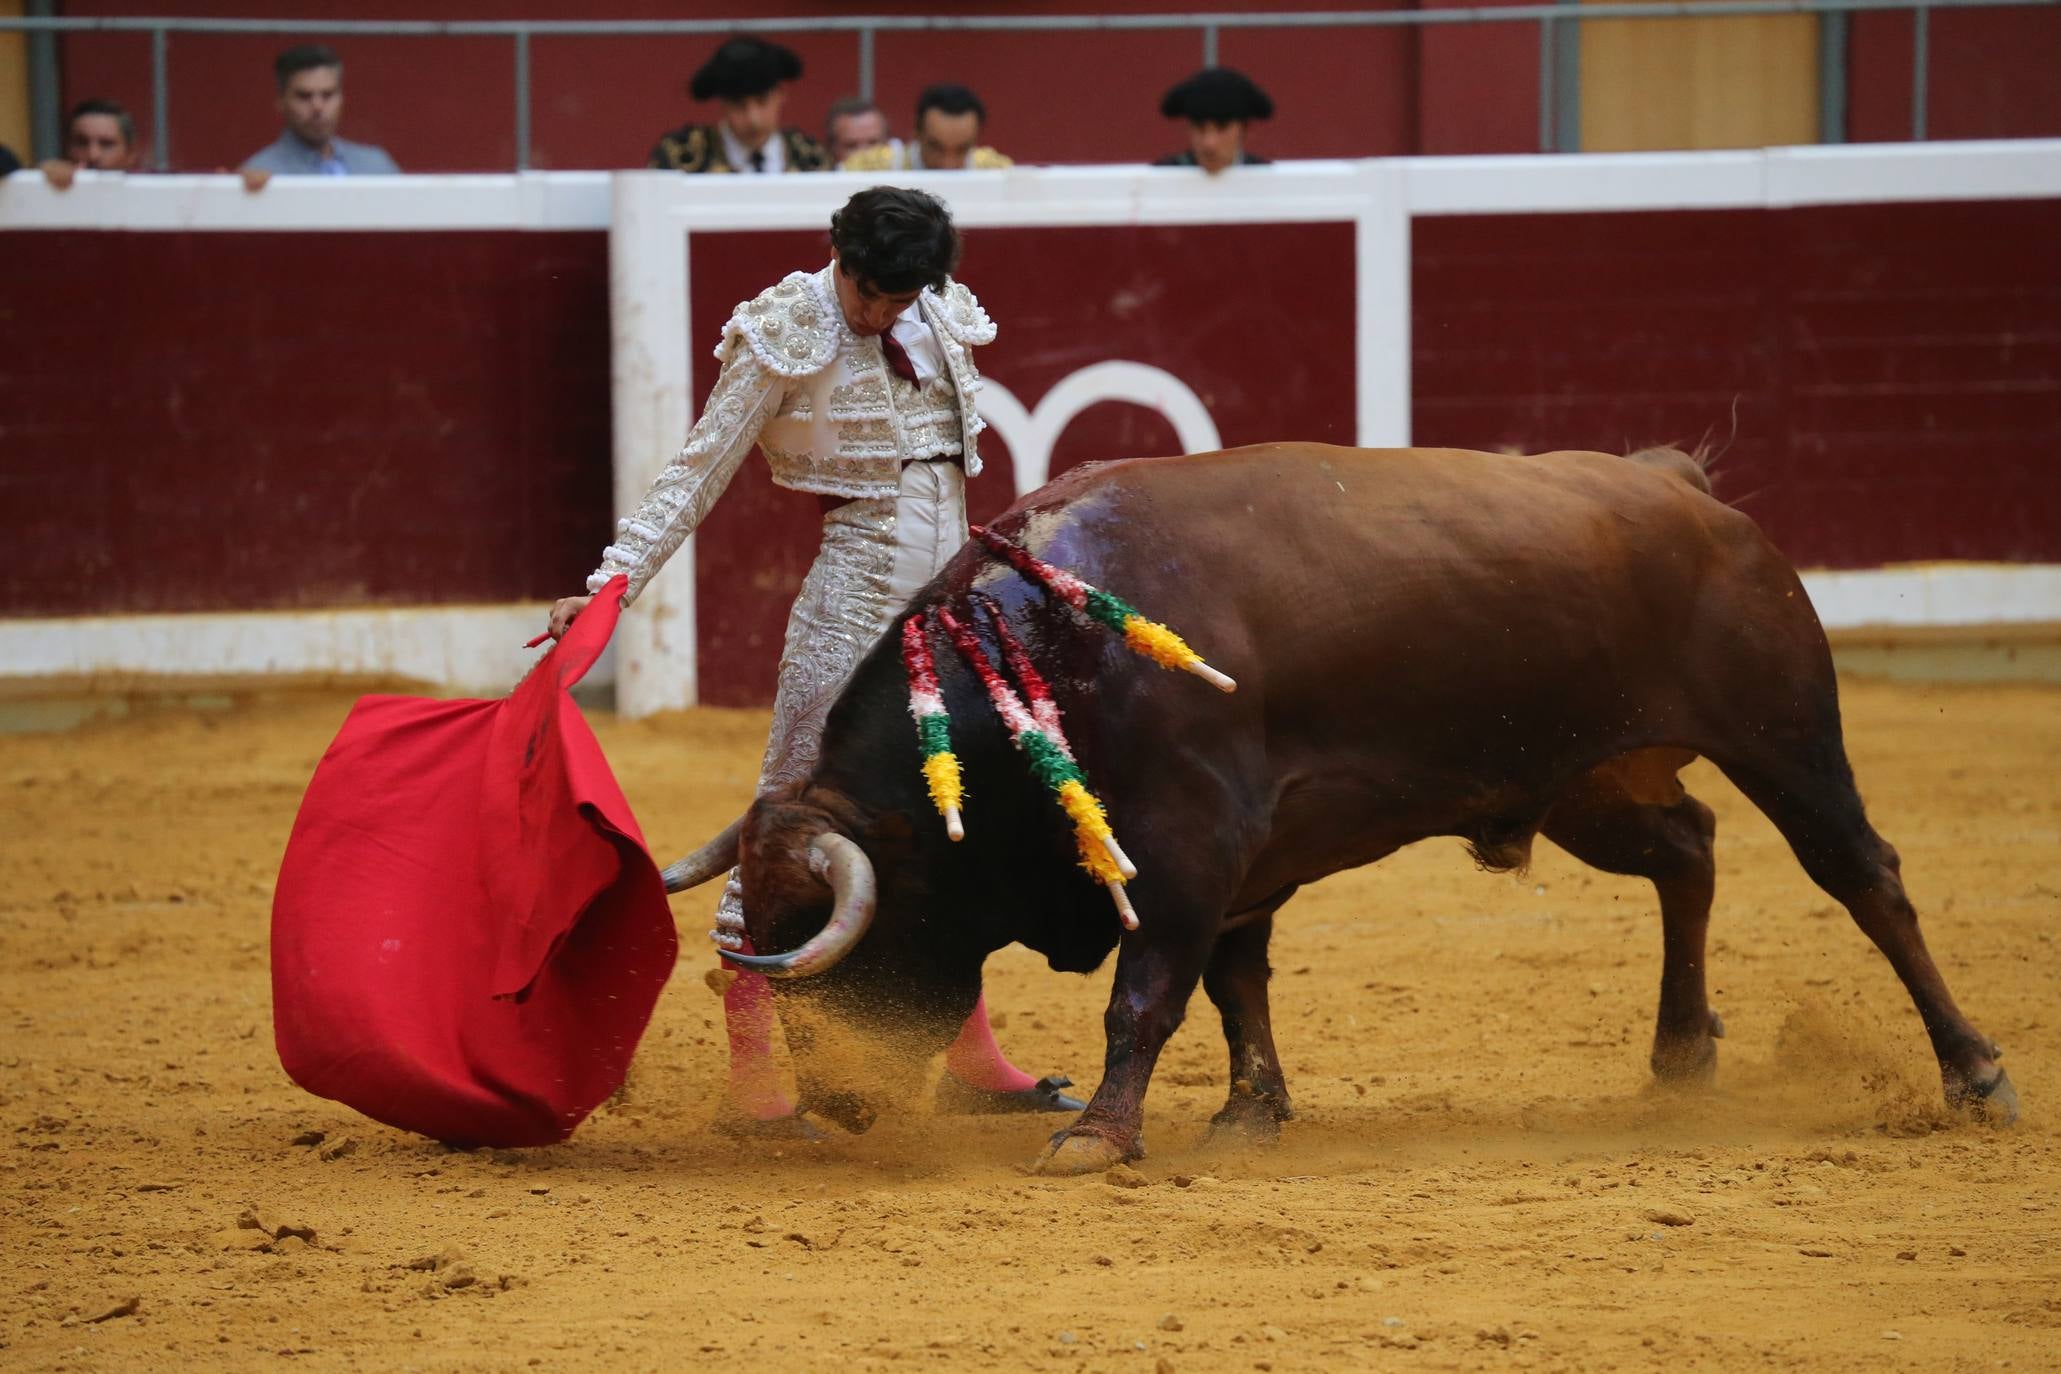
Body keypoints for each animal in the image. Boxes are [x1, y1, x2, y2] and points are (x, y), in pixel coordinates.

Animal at [671, 447, 2011, 1178]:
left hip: (1785, 737)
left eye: (847, 940)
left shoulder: (1187, 851)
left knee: (1864, 875)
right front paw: (1248, 1113)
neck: (1041, 653)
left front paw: (1098, 1135)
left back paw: (1975, 1074)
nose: (838, 1102)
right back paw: (1680, 1055)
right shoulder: (1242, 865)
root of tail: (1682, 492)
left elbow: (1147, 995)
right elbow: (1234, 986)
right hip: (1592, 779)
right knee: (1689, 852)